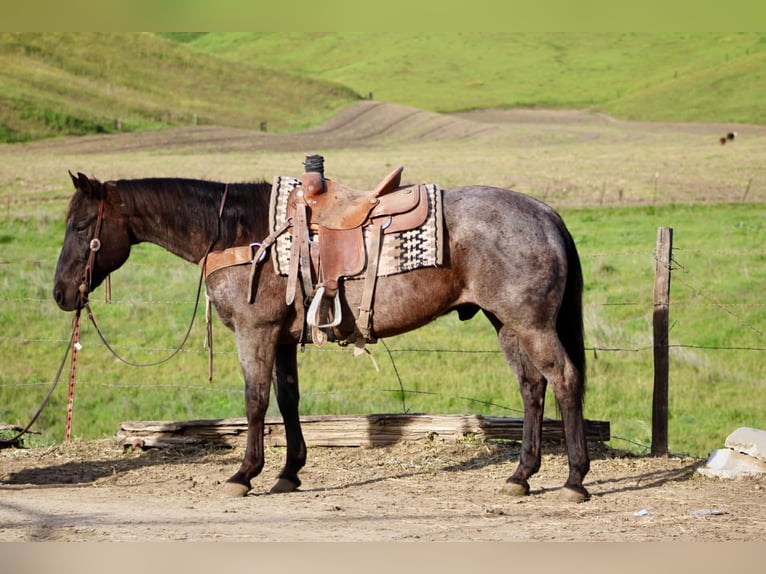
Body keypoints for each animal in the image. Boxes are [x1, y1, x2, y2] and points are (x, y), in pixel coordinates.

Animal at [53, 170, 591, 501]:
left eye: (80, 226)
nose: (61, 293)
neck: (238, 234)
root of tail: (545, 213)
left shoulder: (255, 333)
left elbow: (254, 401)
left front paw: (244, 474)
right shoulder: (281, 339)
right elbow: (287, 401)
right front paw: (289, 472)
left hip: (530, 323)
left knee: (563, 379)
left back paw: (574, 480)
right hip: (506, 323)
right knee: (532, 387)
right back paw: (522, 475)